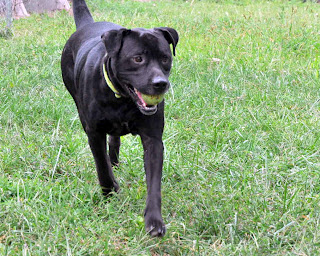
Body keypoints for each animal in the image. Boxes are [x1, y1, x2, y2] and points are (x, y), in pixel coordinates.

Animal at [60, 0, 178, 237]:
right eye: (137, 58)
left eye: (165, 58)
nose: (160, 83)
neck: (122, 99)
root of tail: (87, 24)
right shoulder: (94, 132)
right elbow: (101, 166)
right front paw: (109, 191)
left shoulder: (153, 139)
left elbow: (154, 183)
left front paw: (154, 220)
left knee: (114, 140)